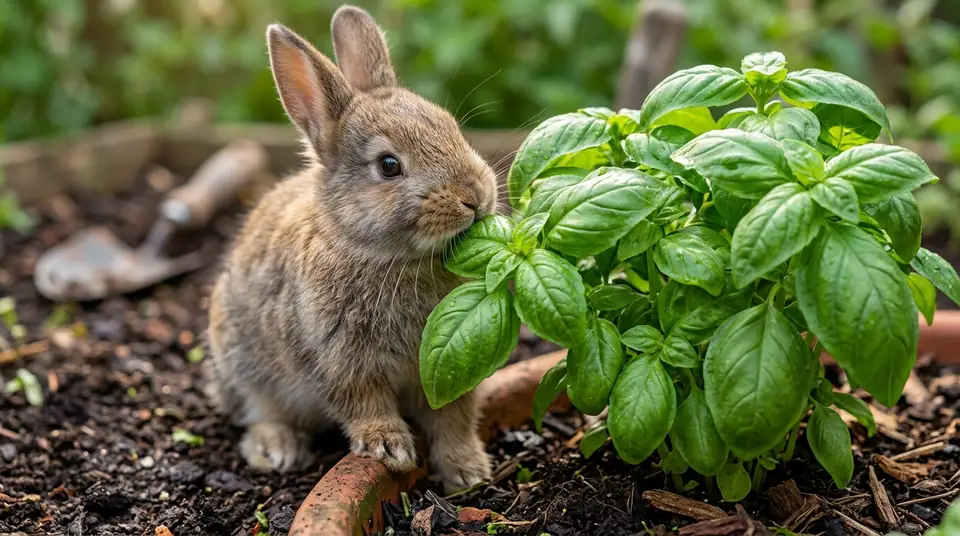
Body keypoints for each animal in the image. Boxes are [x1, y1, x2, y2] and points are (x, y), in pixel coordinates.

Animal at [204, 5, 498, 492]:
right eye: (389, 165)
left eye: (452, 128)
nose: (475, 197)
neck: (390, 258)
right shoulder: (338, 360)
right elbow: (363, 404)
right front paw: (390, 448)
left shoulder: (446, 366)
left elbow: (453, 416)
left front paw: (468, 470)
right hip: (243, 364)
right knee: (258, 411)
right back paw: (277, 450)